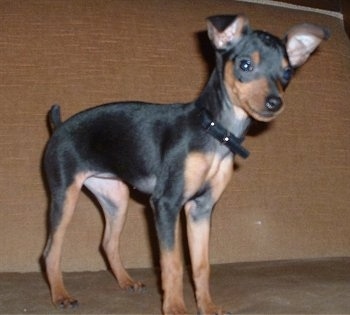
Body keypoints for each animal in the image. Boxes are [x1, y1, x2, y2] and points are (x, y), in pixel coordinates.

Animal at [42, 14, 330, 314]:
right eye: (245, 65)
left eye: (287, 74)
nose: (275, 102)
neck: (215, 131)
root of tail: (59, 126)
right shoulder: (167, 204)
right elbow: (173, 263)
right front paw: (176, 308)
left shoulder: (200, 208)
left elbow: (201, 265)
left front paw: (207, 306)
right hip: (66, 195)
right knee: (51, 250)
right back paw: (61, 295)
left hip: (115, 197)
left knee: (108, 243)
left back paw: (126, 281)